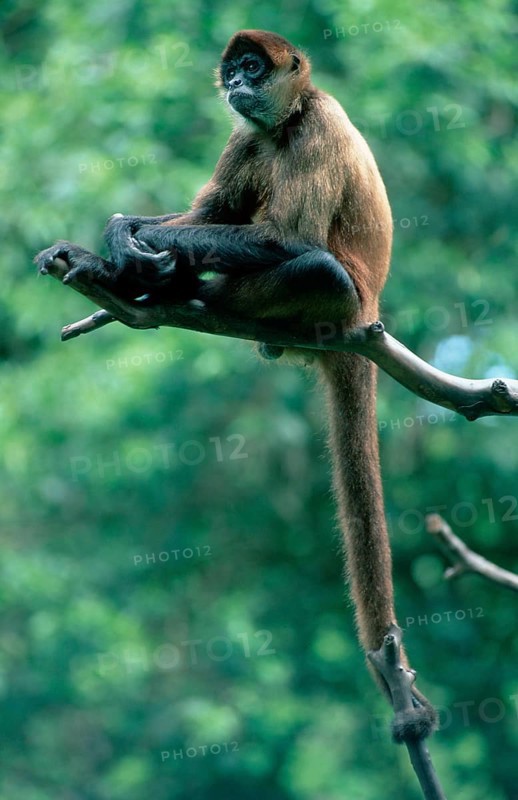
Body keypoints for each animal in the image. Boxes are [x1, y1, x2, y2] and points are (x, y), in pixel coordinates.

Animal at [35, 30, 437, 741]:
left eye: (252, 67)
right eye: (232, 74)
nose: (237, 86)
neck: (287, 122)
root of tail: (367, 321)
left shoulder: (316, 125)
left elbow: (287, 239)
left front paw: (129, 241)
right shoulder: (247, 134)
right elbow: (211, 209)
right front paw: (119, 238)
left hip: (335, 303)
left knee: (314, 265)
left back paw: (158, 282)